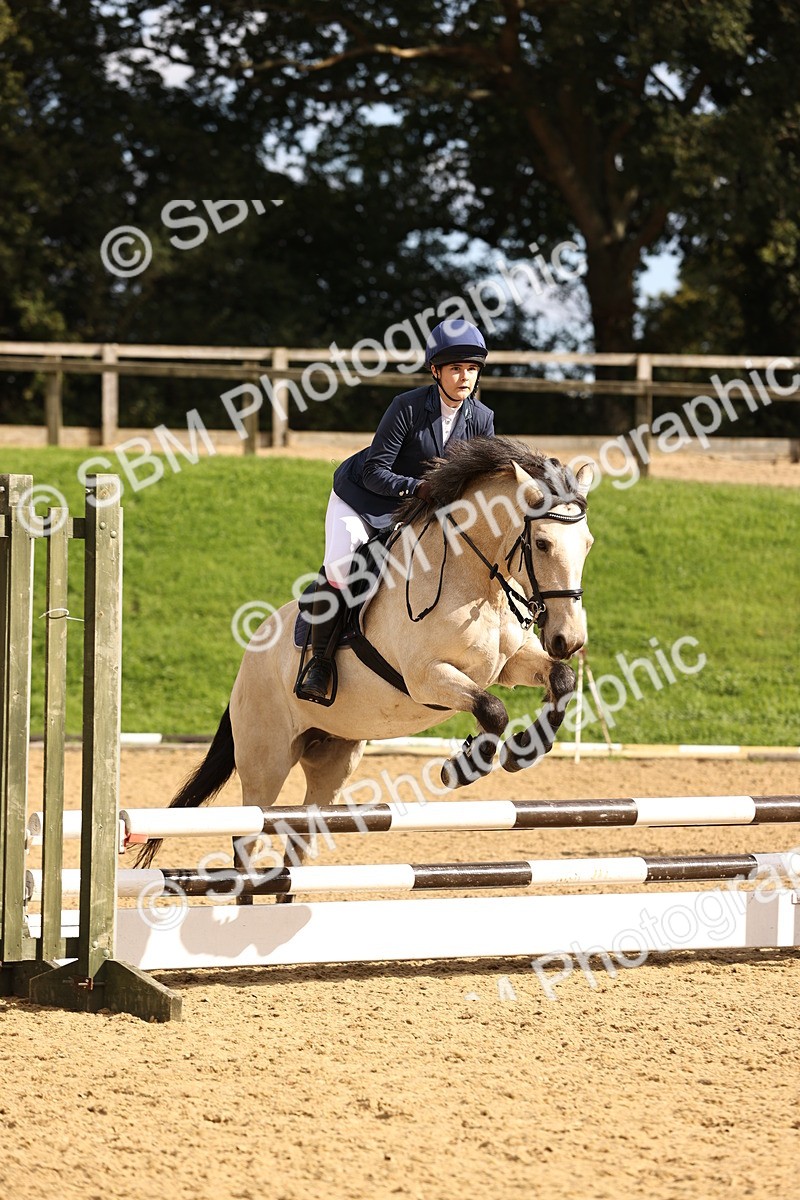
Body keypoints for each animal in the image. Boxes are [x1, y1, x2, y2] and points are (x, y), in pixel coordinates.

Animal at [135, 438, 593, 873]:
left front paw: (523, 750)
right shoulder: (426, 677)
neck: (479, 582)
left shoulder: (508, 665)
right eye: (542, 543)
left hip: (333, 758)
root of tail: (247, 662)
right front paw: (461, 767)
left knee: (301, 835)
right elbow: (493, 710)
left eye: (587, 544)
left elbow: (561, 680)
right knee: (247, 835)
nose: (568, 639)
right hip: (266, 759)